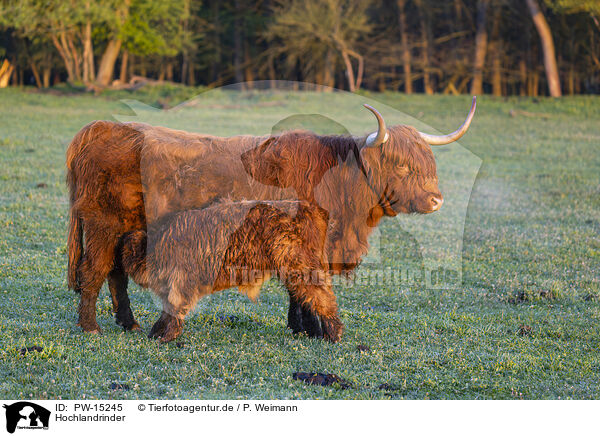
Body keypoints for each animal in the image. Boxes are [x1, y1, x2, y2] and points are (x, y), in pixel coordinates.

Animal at [118, 199, 342, 342]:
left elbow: (174, 307)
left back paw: (332, 335)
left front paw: (166, 336)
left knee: (322, 297)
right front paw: (157, 332)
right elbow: (167, 309)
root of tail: (314, 209)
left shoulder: (181, 280)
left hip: (302, 267)